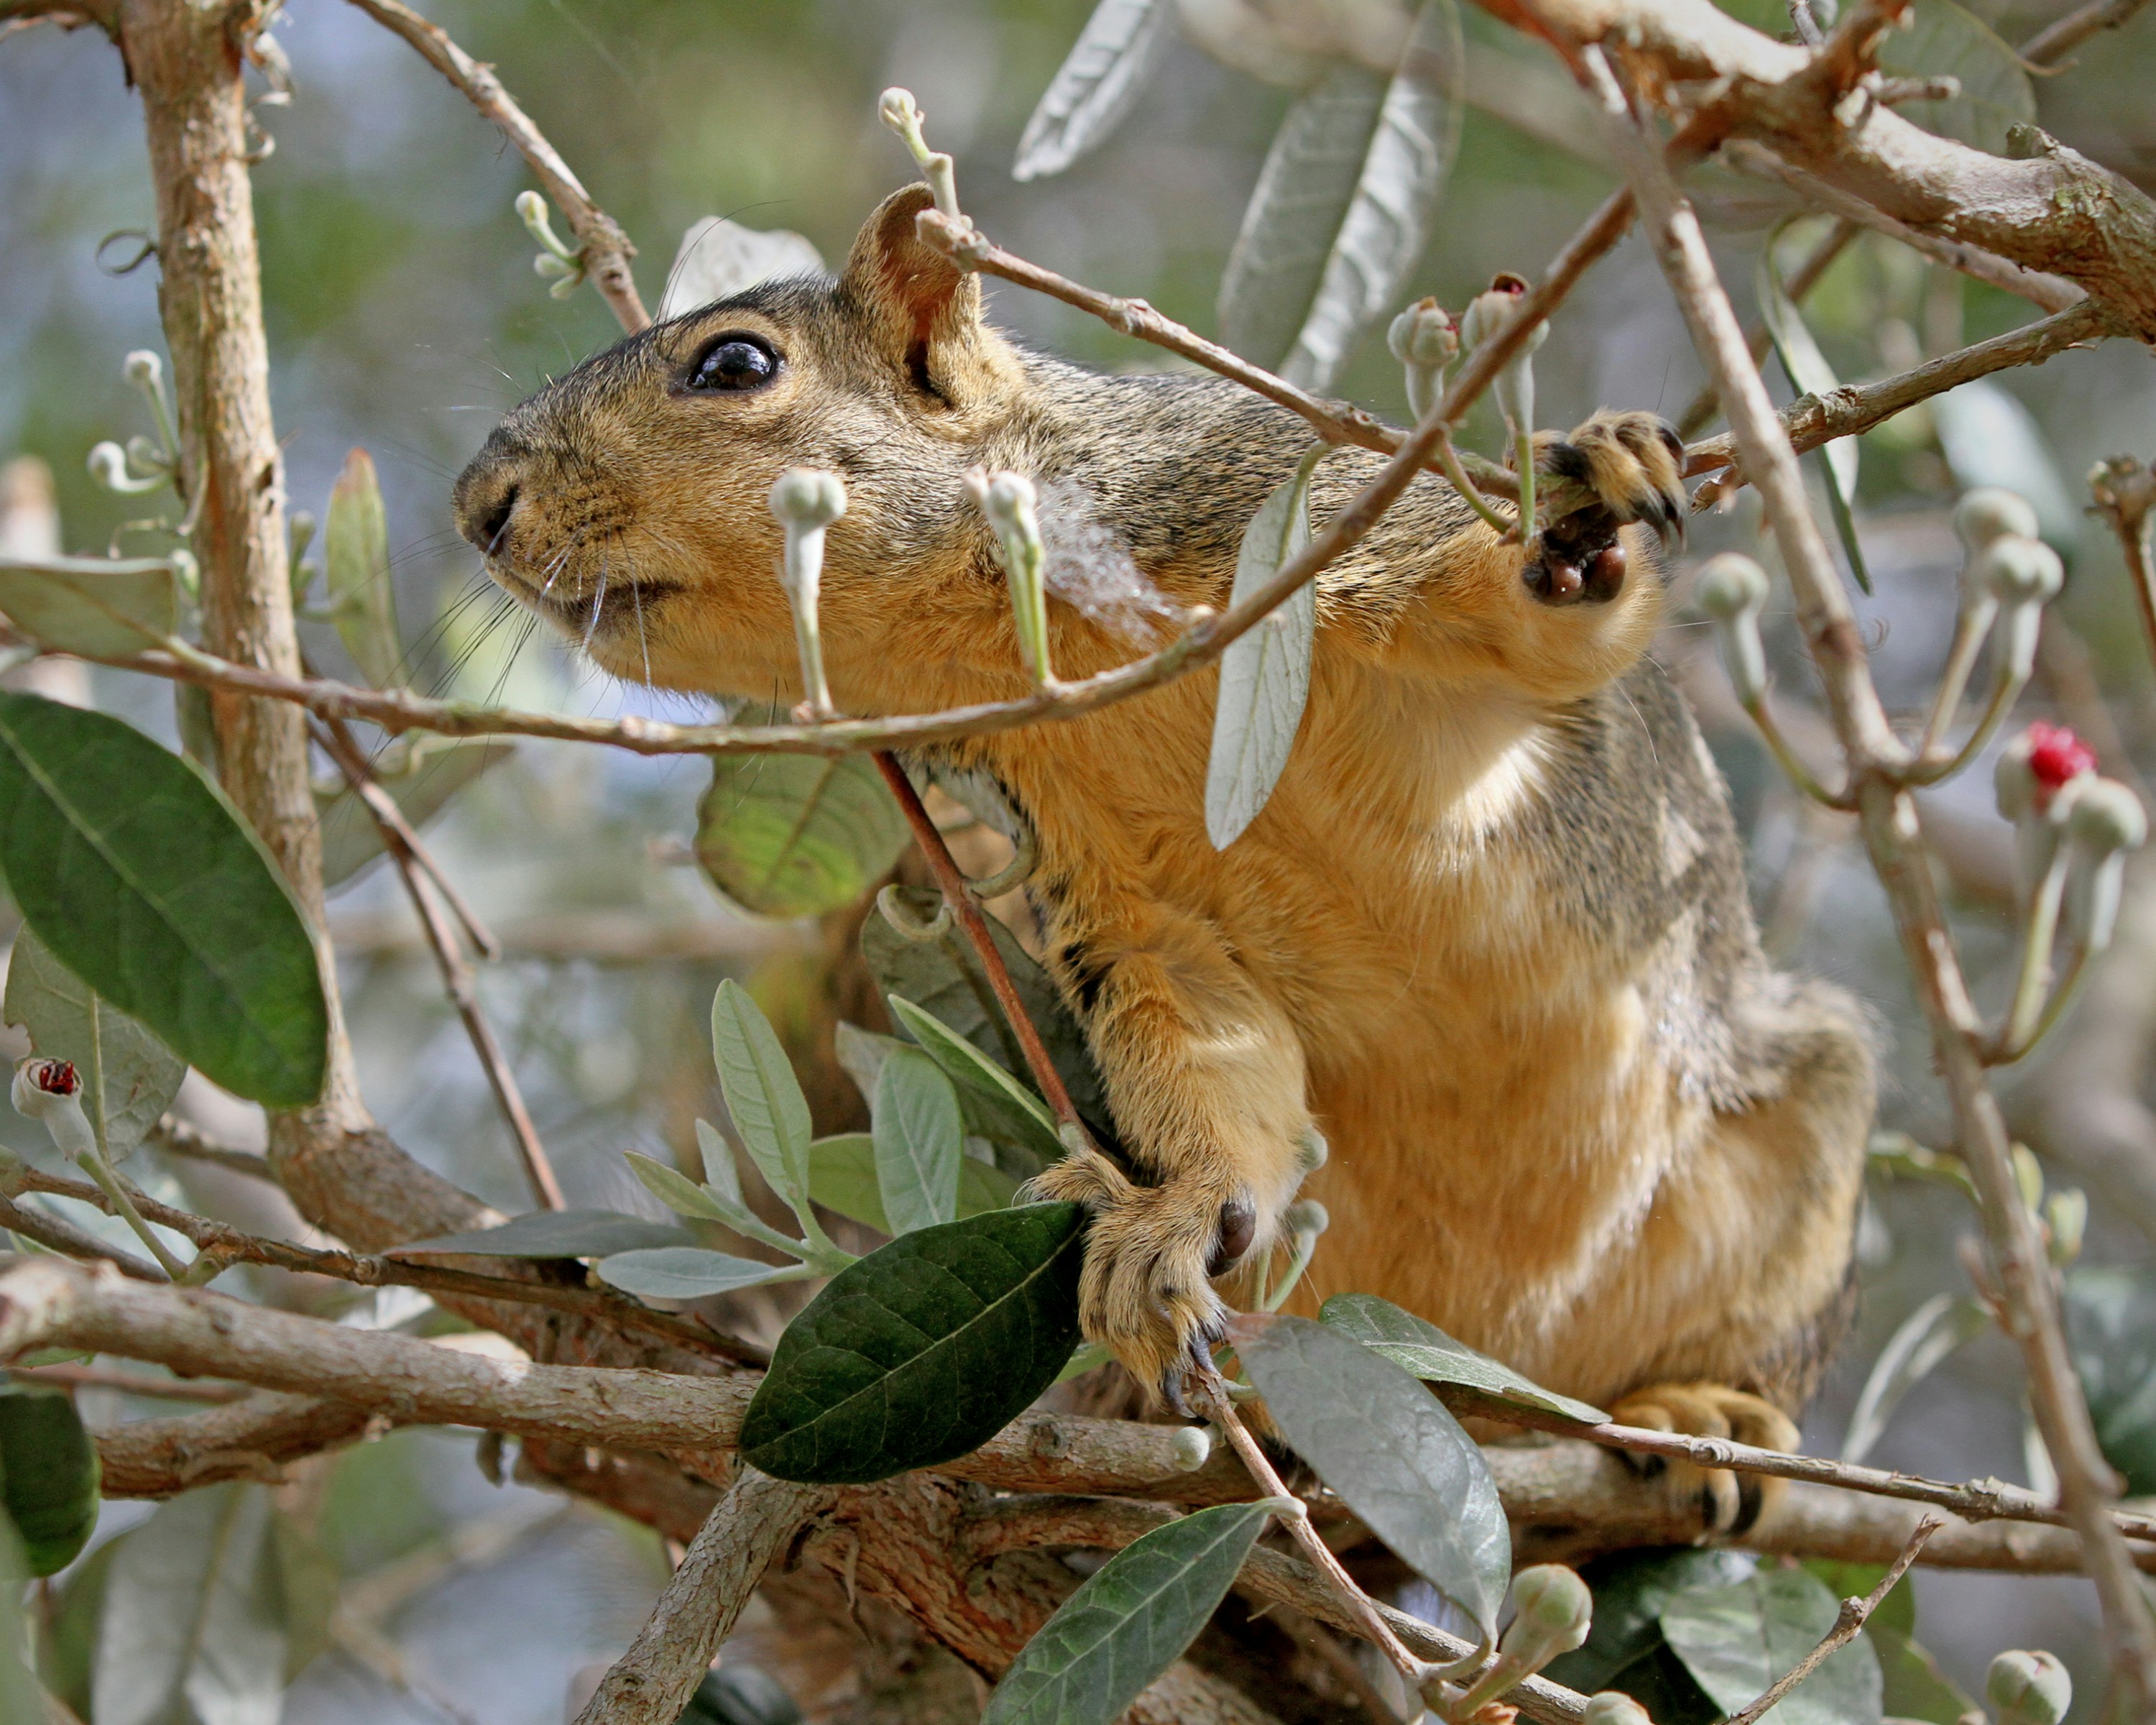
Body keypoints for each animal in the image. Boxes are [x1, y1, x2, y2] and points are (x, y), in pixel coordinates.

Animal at [455, 185, 1876, 1528]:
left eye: (737, 365)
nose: (478, 507)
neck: (1026, 639)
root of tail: (1483, 1376)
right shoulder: (1114, 885)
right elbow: (1204, 1042)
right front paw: (1176, 1218)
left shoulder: (1285, 508)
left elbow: (1529, 637)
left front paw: (1573, 530)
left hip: (1797, 1149)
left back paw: (1706, 1409)